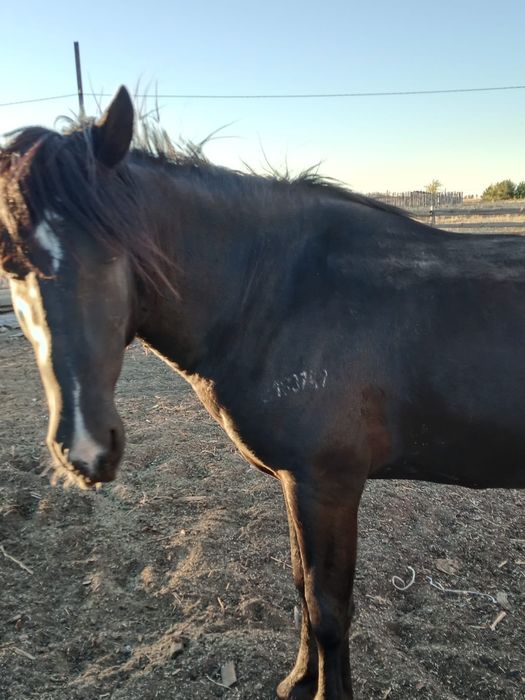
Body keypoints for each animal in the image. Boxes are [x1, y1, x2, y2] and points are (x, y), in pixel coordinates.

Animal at [0, 86, 523, 700]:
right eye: (11, 263)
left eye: (115, 251)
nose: (85, 447)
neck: (281, 294)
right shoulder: (298, 483)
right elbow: (302, 588)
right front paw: (299, 681)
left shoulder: (328, 484)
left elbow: (327, 609)